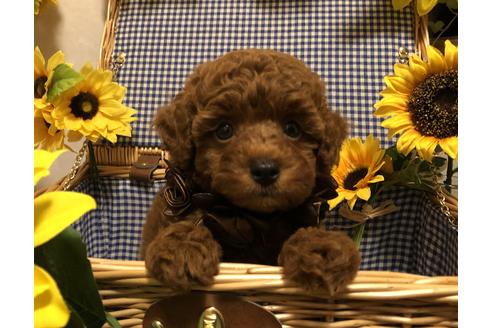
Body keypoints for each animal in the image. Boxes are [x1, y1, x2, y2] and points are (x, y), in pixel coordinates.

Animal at [140, 48, 360, 294]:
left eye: (292, 129)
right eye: (224, 129)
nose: (265, 170)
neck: (254, 220)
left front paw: (321, 248)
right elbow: (187, 223)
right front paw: (182, 248)